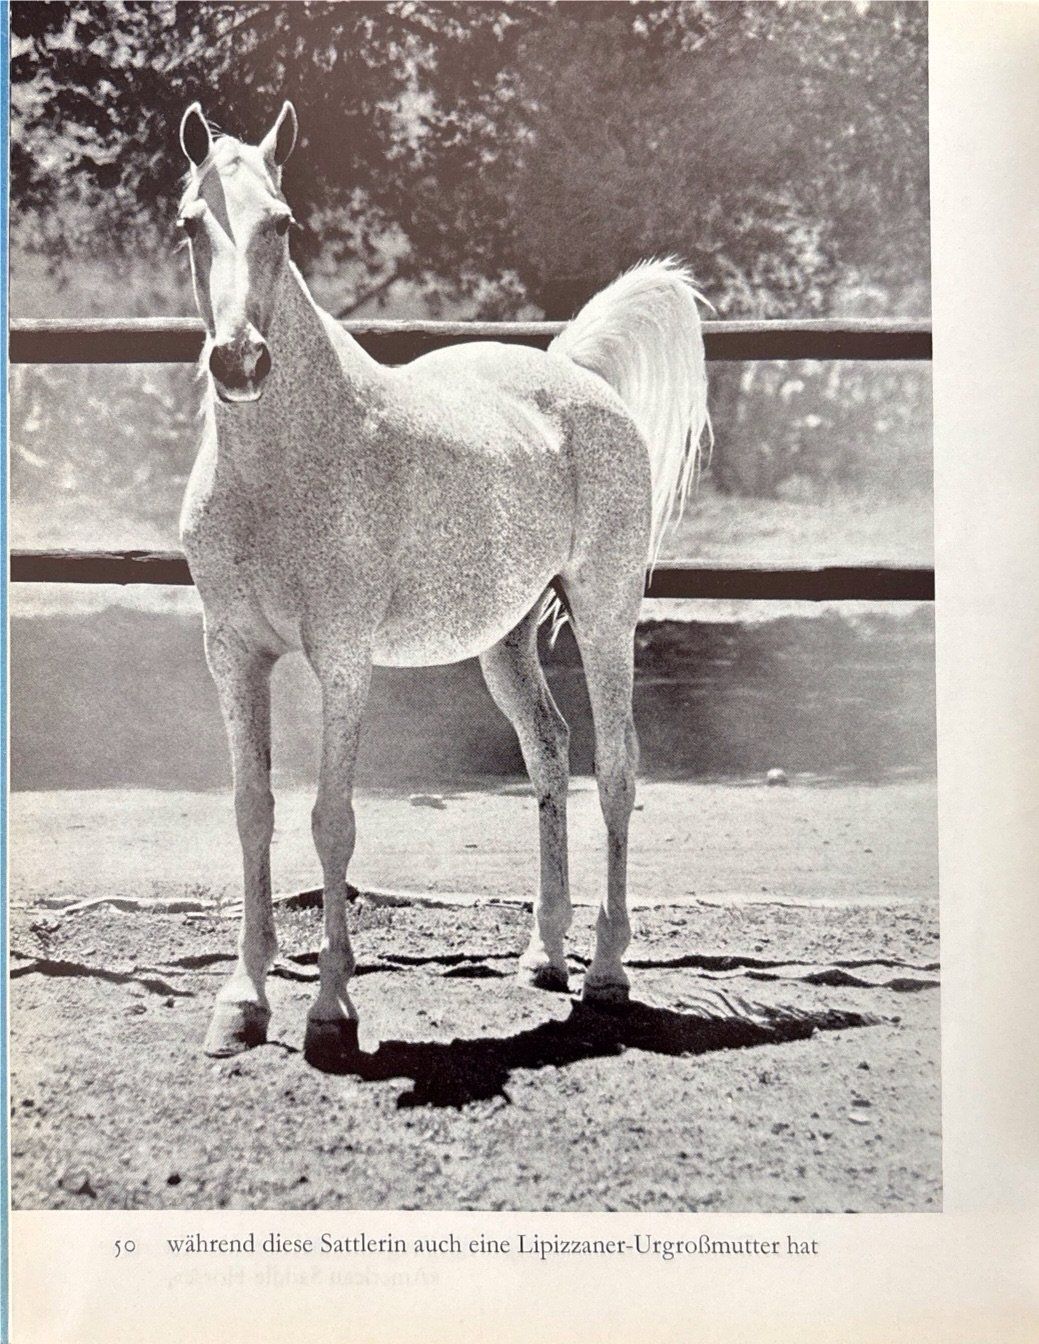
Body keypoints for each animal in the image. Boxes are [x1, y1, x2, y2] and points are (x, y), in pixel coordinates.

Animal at [175, 101, 710, 1063]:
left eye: (283, 224)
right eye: (191, 224)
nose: (240, 363)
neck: (283, 466)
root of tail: (572, 372)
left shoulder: (342, 659)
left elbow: (331, 819)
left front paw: (331, 1009)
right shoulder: (233, 656)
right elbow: (251, 810)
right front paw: (241, 1002)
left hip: (605, 614)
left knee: (616, 766)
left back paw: (607, 970)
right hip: (505, 642)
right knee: (548, 750)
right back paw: (542, 955)